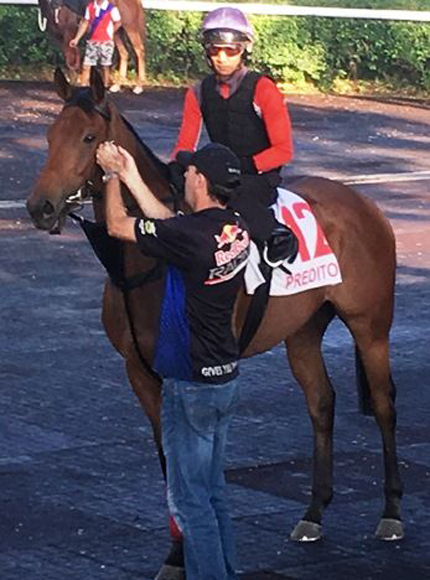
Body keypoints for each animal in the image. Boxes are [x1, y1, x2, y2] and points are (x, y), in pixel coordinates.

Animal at [26, 69, 404, 580]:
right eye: (49, 136)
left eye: (88, 138)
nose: (40, 207)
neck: (147, 260)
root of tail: (363, 202)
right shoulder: (141, 372)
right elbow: (169, 460)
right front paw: (175, 555)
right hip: (303, 331)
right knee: (321, 403)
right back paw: (313, 513)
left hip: (372, 326)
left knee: (384, 406)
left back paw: (391, 512)